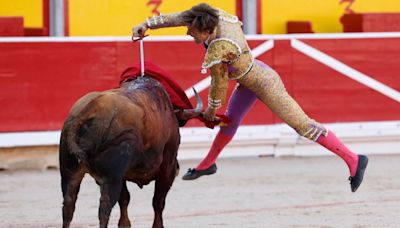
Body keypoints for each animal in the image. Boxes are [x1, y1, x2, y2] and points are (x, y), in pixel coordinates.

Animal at [59, 77, 202, 228]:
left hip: (70, 174)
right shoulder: (167, 167)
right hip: (111, 177)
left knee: (68, 206)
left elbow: (125, 199)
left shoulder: (122, 175)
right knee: (104, 207)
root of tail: (90, 109)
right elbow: (158, 201)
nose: (179, 169)